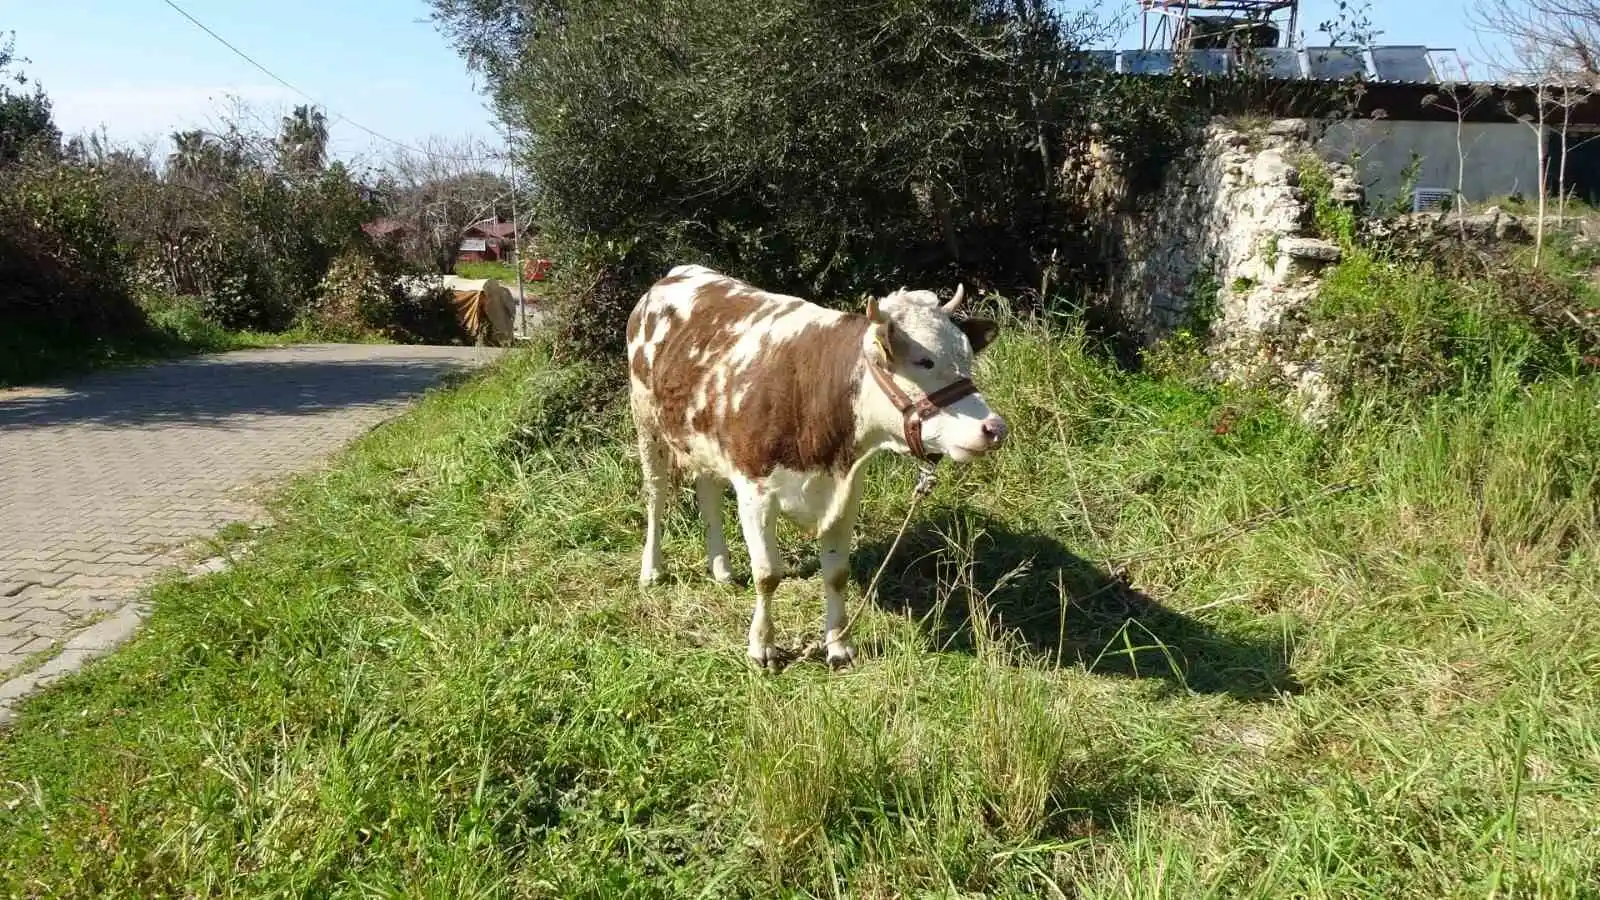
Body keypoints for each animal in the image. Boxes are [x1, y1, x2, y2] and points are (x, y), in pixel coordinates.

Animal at [627, 262, 1011, 669]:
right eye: (926, 361)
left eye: (968, 357)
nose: (994, 428)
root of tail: (678, 273)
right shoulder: (755, 491)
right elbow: (768, 574)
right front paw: (762, 647)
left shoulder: (847, 491)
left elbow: (837, 573)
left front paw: (838, 645)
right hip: (646, 421)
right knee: (656, 496)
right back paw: (652, 570)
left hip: (701, 439)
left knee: (708, 491)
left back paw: (722, 568)